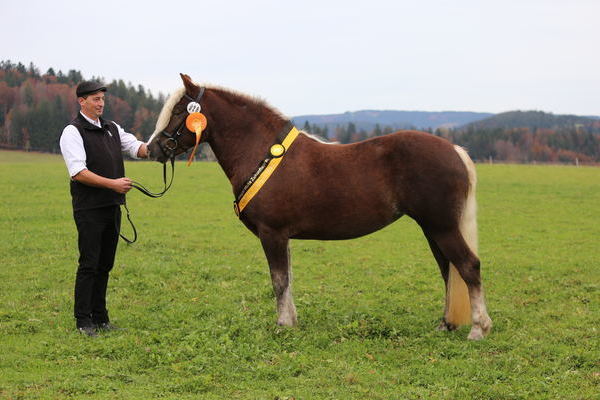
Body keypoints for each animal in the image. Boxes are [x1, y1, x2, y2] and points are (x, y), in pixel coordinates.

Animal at [146, 73, 492, 340]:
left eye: (180, 110)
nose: (153, 149)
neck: (262, 152)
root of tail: (455, 150)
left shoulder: (272, 233)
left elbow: (279, 280)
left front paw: (282, 325)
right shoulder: (282, 235)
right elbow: (287, 278)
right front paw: (292, 322)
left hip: (441, 226)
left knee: (468, 266)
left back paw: (478, 329)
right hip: (433, 228)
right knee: (449, 270)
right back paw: (447, 324)